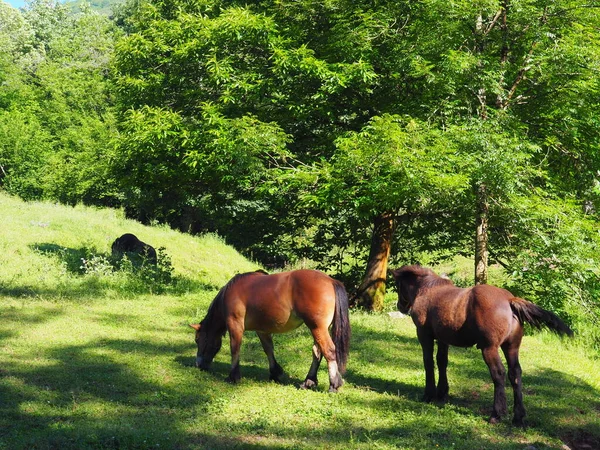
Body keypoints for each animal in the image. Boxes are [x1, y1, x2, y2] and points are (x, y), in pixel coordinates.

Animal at [190, 268, 352, 392]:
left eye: (198, 340)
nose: (199, 365)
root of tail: (331, 281)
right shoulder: (262, 330)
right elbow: (268, 349)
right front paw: (275, 373)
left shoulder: (235, 325)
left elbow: (235, 349)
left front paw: (233, 376)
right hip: (318, 329)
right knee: (317, 352)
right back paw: (308, 382)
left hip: (317, 328)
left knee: (328, 350)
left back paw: (333, 384)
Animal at [392, 266, 576, 428]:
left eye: (398, 285)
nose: (400, 306)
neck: (427, 290)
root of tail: (510, 300)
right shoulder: (443, 339)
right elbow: (442, 362)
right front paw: (442, 393)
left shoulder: (424, 335)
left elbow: (428, 362)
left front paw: (429, 394)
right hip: (511, 347)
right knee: (515, 374)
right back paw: (518, 418)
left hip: (489, 348)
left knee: (499, 374)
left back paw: (496, 415)